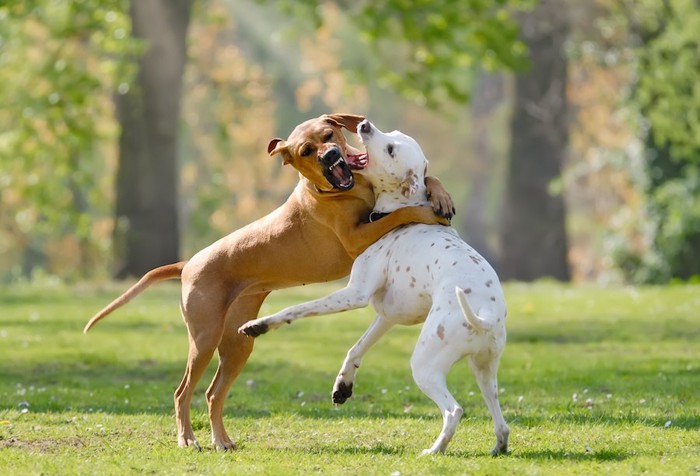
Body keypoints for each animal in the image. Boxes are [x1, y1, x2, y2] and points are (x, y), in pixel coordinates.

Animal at [83, 113, 454, 452]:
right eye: (306, 151)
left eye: (328, 134)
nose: (331, 155)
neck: (346, 189)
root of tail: (189, 264)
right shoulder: (355, 238)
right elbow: (400, 213)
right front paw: (426, 211)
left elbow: (427, 178)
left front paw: (440, 195)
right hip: (204, 339)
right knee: (182, 392)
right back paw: (188, 439)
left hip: (237, 344)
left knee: (213, 393)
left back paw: (222, 440)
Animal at [241, 121, 508, 456]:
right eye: (392, 134)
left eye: (391, 149)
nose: (364, 124)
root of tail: (486, 314)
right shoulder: (387, 316)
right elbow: (356, 348)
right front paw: (343, 385)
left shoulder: (355, 294)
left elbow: (295, 309)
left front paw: (258, 325)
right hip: (485, 372)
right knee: (499, 416)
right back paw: (499, 445)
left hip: (425, 365)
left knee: (454, 410)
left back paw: (434, 450)